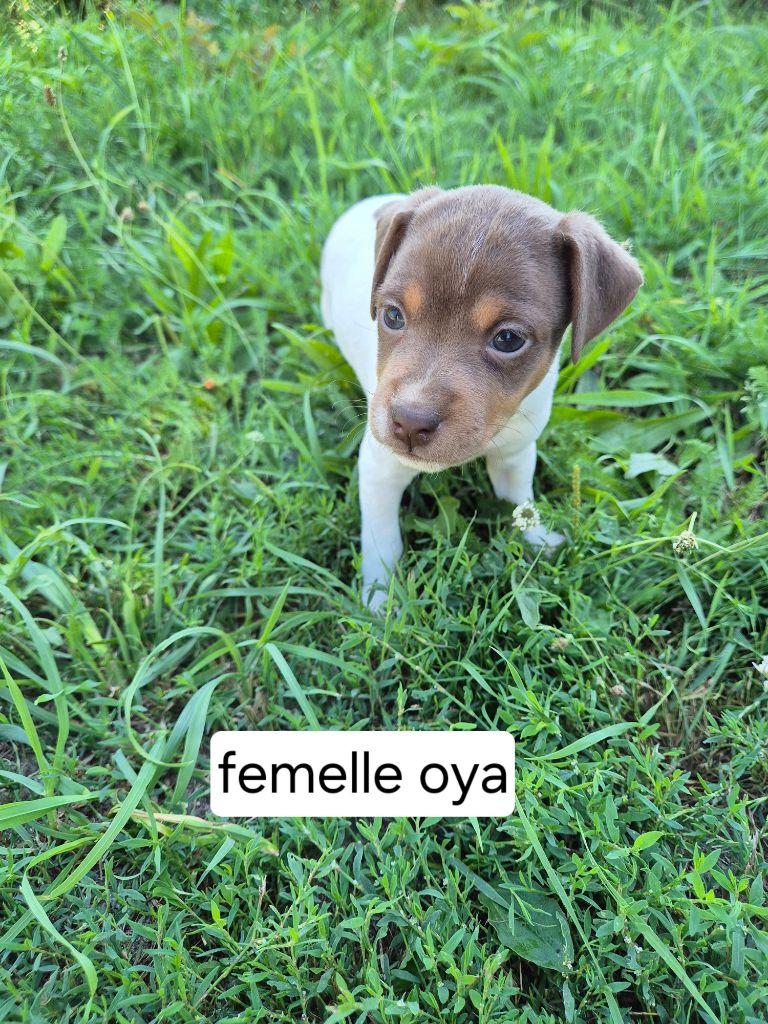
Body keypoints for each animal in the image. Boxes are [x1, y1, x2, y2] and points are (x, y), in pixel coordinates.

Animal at [320, 185, 642, 608]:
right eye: (392, 316)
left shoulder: (516, 454)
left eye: (507, 339)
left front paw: (537, 540)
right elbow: (381, 540)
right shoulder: (380, 465)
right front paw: (381, 598)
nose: (409, 422)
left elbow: (521, 503)